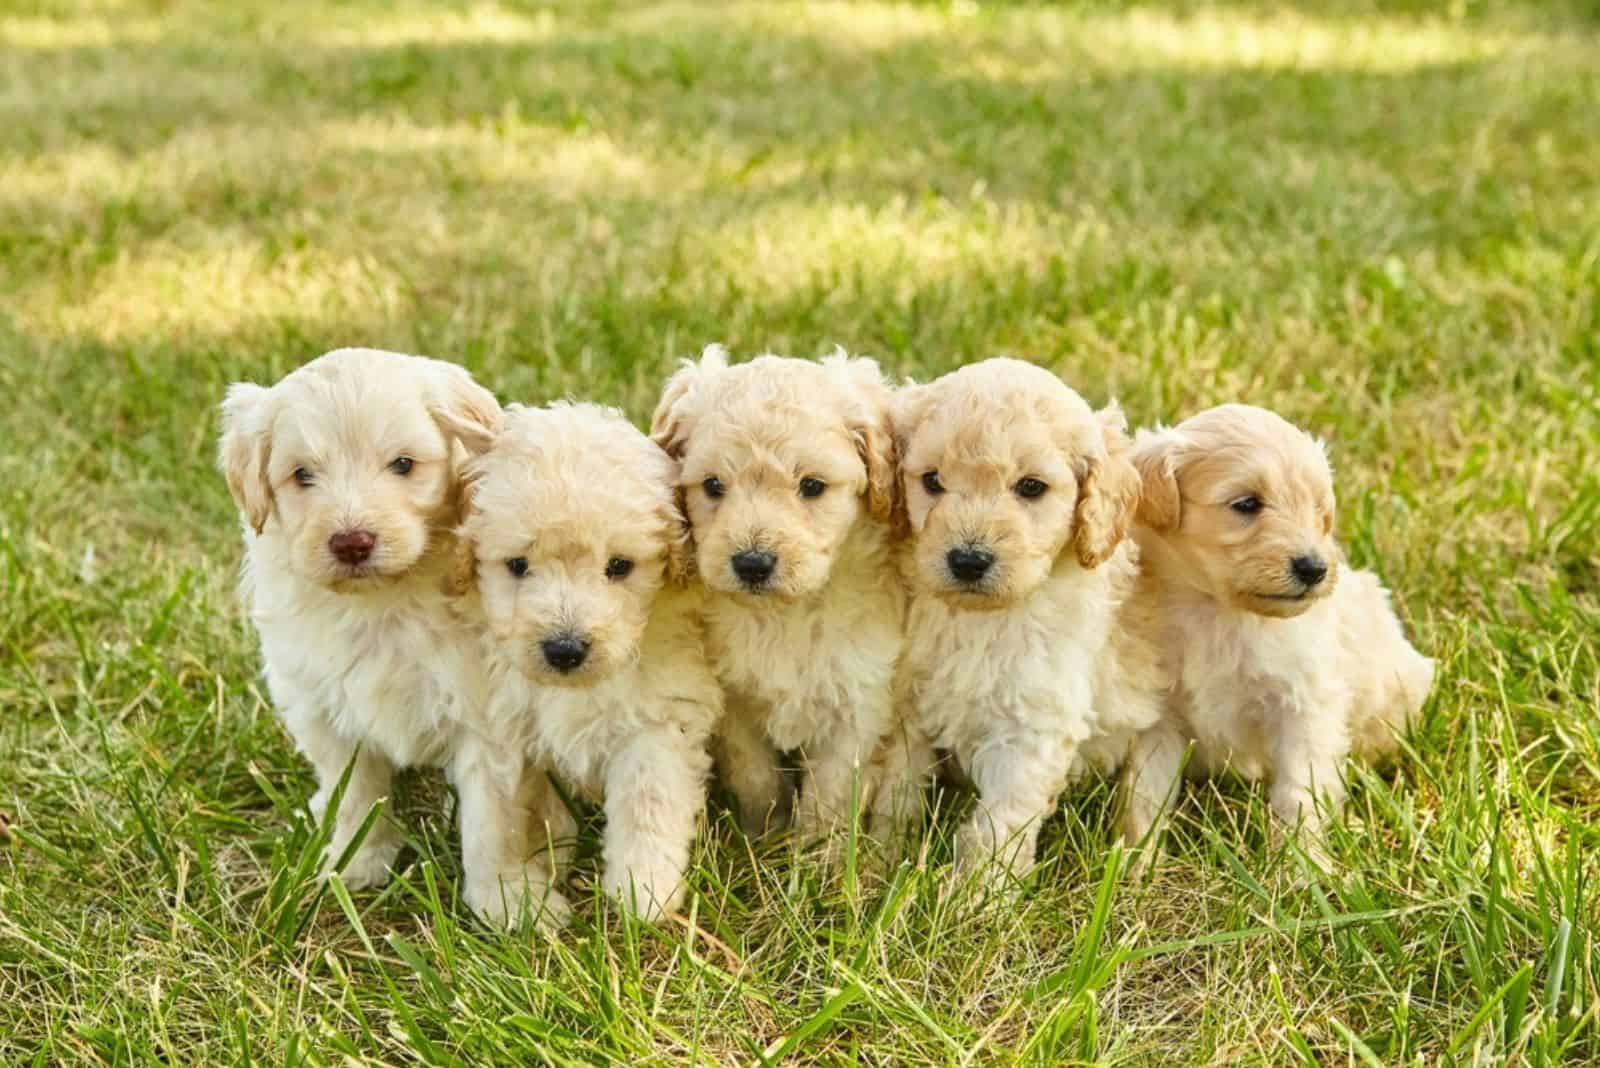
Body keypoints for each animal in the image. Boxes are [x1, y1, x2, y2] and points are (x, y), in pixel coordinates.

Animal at [214, 348, 499, 895]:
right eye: (303, 475)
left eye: (403, 464)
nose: (351, 542)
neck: (382, 603)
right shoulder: (322, 709)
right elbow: (355, 795)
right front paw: (357, 862)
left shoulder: (485, 715)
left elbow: (493, 823)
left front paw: (511, 899)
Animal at [451, 404, 726, 920]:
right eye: (517, 565)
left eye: (619, 566)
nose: (565, 649)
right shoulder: (494, 718)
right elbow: (493, 816)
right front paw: (510, 898)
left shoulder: (658, 716)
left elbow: (648, 801)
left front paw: (644, 891)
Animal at [646, 346, 902, 837]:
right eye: (713, 485)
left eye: (812, 486)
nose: (752, 564)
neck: (785, 613)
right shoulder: (734, 703)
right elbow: (754, 776)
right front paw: (765, 834)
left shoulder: (858, 705)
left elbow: (830, 796)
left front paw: (817, 851)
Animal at [876, 361, 1164, 882]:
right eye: (932, 480)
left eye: (1031, 487)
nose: (968, 561)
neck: (983, 620)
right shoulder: (911, 705)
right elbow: (896, 792)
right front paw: (877, 862)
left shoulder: (1031, 728)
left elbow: (997, 828)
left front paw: (975, 894)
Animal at [1113, 402, 1440, 856]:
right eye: (1248, 504)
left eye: (1318, 512)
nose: (1315, 568)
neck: (1219, 612)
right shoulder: (1159, 717)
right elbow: (1145, 799)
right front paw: (1136, 865)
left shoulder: (1304, 707)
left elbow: (1299, 794)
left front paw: (1302, 866)